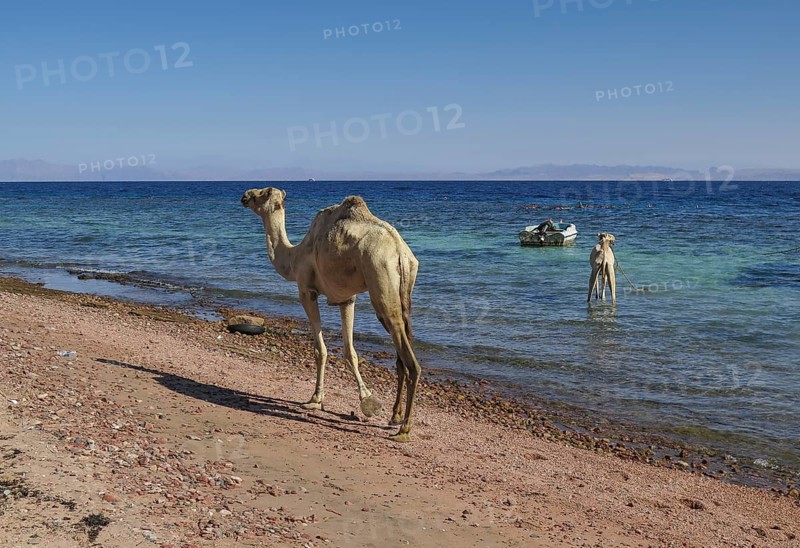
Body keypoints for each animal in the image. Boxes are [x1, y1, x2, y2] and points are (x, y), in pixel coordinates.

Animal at [241, 187, 422, 442]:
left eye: (262, 194)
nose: (245, 195)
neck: (294, 257)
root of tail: (400, 253)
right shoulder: (347, 299)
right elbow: (349, 351)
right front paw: (366, 399)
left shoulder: (307, 291)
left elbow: (320, 349)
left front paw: (315, 400)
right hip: (403, 294)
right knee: (402, 352)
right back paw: (394, 416)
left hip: (381, 281)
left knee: (410, 360)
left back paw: (404, 429)